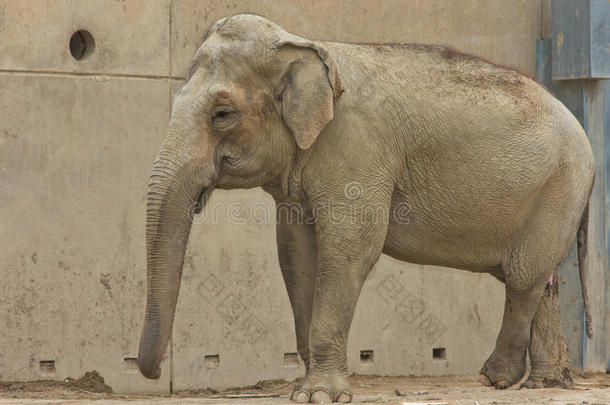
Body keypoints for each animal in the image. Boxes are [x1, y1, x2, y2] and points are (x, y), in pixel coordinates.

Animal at [134, 14, 592, 402]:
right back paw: (544, 383)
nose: (151, 373)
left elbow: (348, 250)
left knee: (523, 278)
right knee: (540, 280)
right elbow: (296, 254)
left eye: (222, 114)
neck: (302, 44)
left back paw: (496, 378)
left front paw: (319, 395)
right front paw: (305, 387)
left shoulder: (357, 148)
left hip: (559, 189)